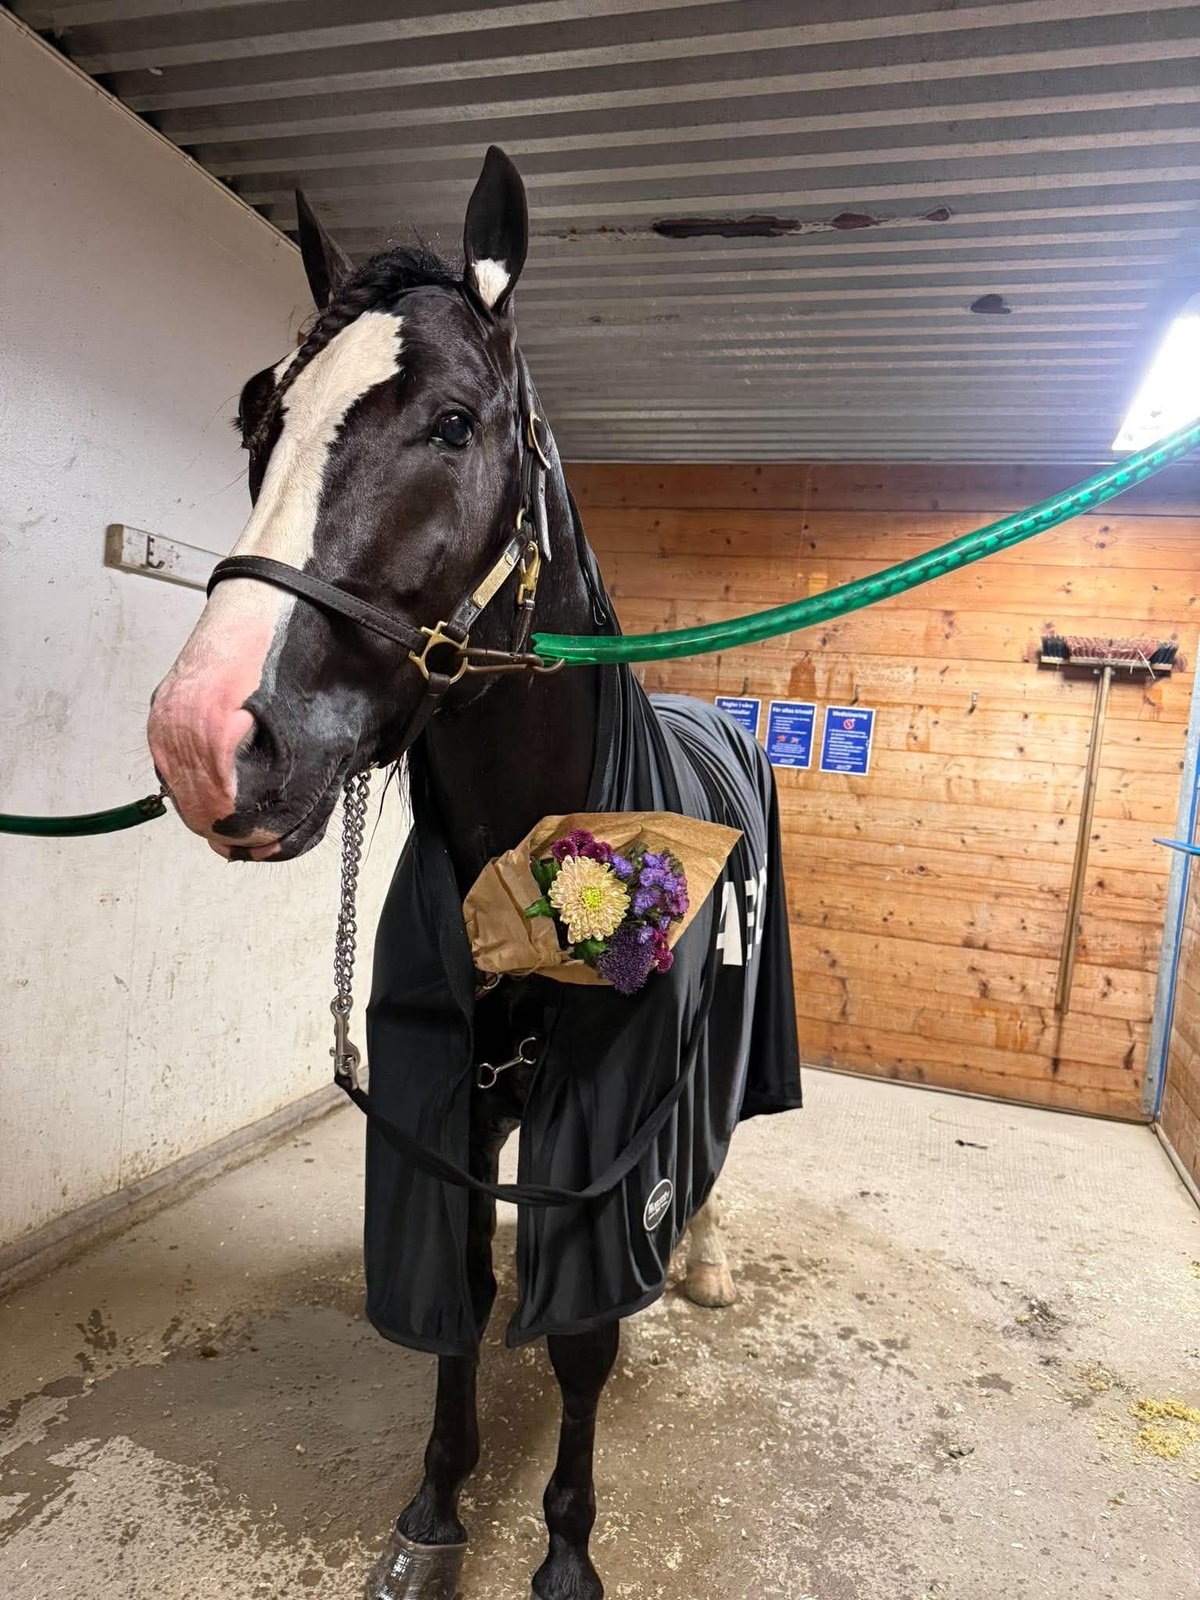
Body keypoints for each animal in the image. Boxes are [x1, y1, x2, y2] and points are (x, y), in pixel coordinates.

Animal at [147, 147, 801, 1600]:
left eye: (453, 423)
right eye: (257, 422)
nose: (201, 739)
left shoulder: (609, 1123)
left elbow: (580, 1336)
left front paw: (564, 1546)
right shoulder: (442, 1109)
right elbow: (460, 1303)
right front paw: (436, 1514)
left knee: (722, 1155)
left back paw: (704, 1265)